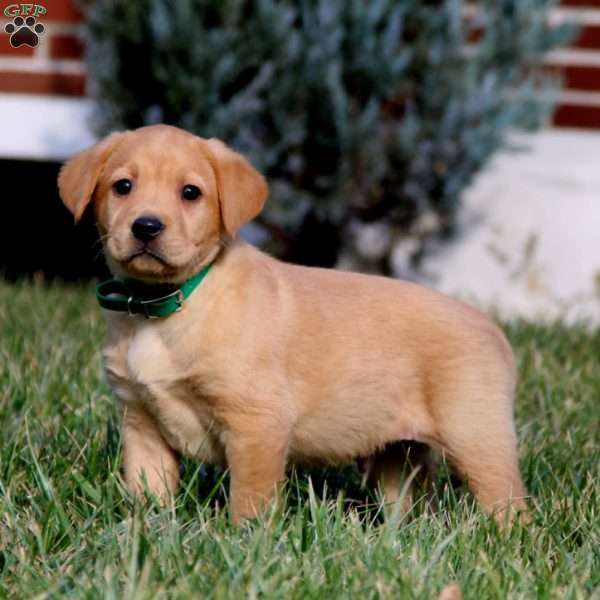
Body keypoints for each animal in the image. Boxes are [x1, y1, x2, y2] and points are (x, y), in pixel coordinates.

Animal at [58, 124, 528, 524]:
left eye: (190, 193)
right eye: (123, 186)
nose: (146, 226)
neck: (168, 305)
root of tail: (492, 327)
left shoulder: (257, 422)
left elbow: (250, 500)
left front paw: (246, 543)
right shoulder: (141, 423)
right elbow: (148, 493)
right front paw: (146, 531)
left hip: (475, 437)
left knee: (511, 505)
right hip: (398, 454)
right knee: (407, 504)